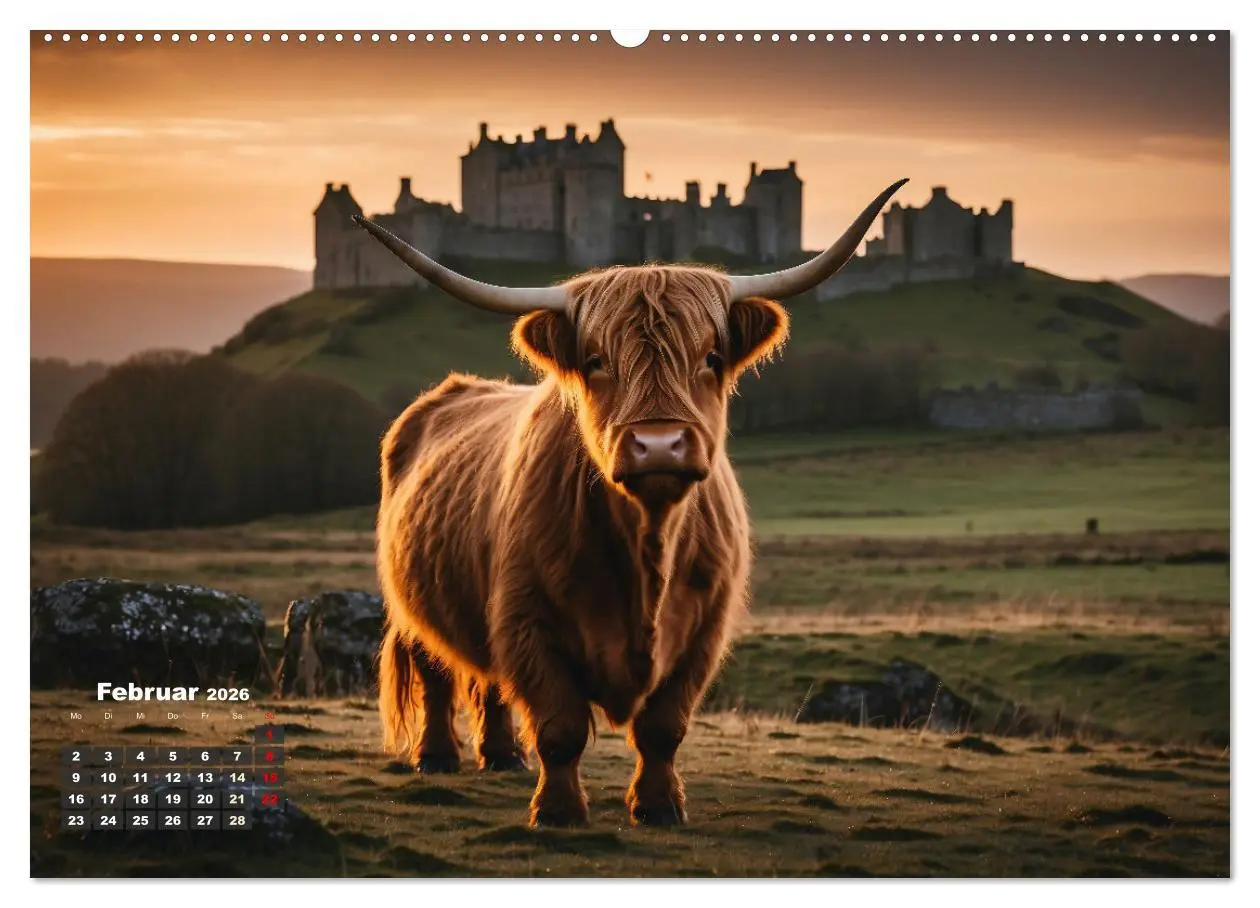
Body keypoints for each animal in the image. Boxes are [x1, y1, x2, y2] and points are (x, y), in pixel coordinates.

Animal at [357, 178, 908, 829]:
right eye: (597, 362)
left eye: (711, 358)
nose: (659, 445)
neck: (648, 547)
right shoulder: (528, 621)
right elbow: (561, 727)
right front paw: (559, 812)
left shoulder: (703, 632)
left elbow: (663, 728)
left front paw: (660, 805)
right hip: (413, 601)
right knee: (437, 672)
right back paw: (439, 756)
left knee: (487, 683)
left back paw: (502, 755)